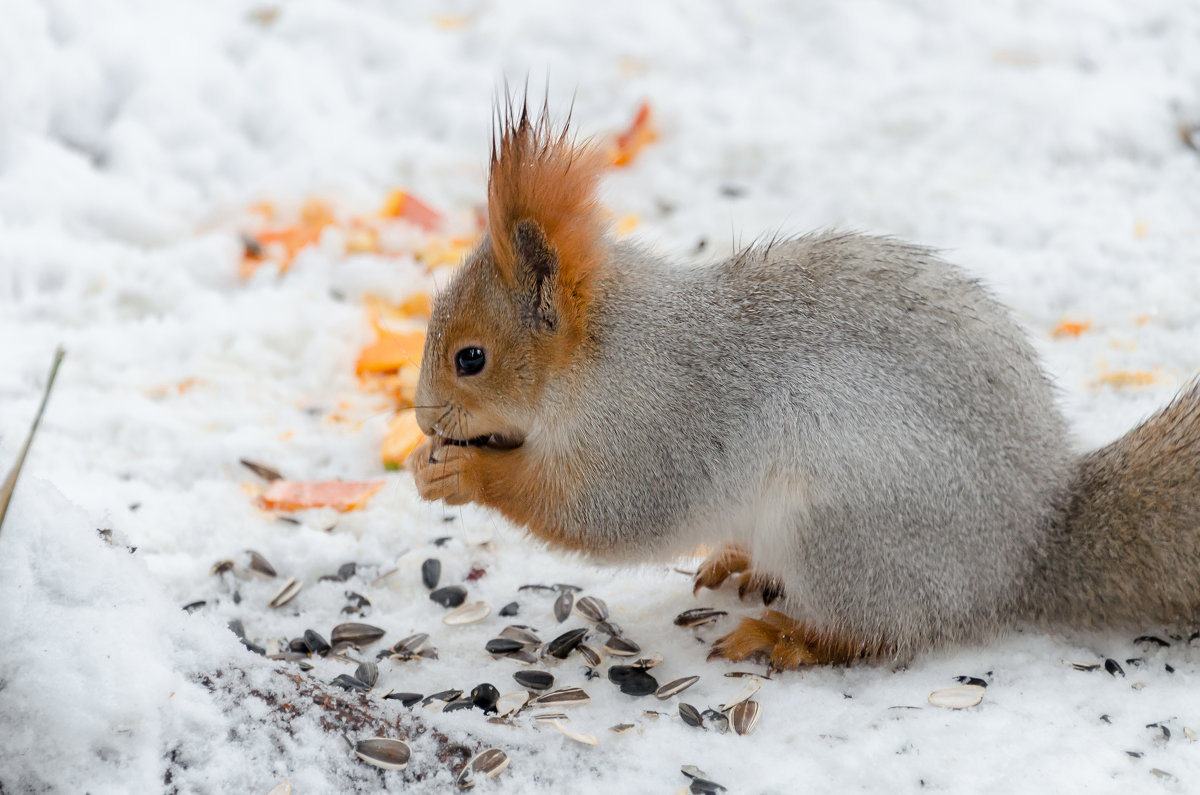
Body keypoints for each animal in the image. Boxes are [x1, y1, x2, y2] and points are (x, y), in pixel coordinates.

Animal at [405, 102, 1200, 667]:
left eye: (470, 358)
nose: (422, 419)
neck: (606, 353)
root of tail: (1025, 548)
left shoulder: (655, 427)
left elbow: (604, 512)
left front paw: (463, 472)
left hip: (838, 530)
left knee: (875, 633)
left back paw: (784, 636)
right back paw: (739, 561)